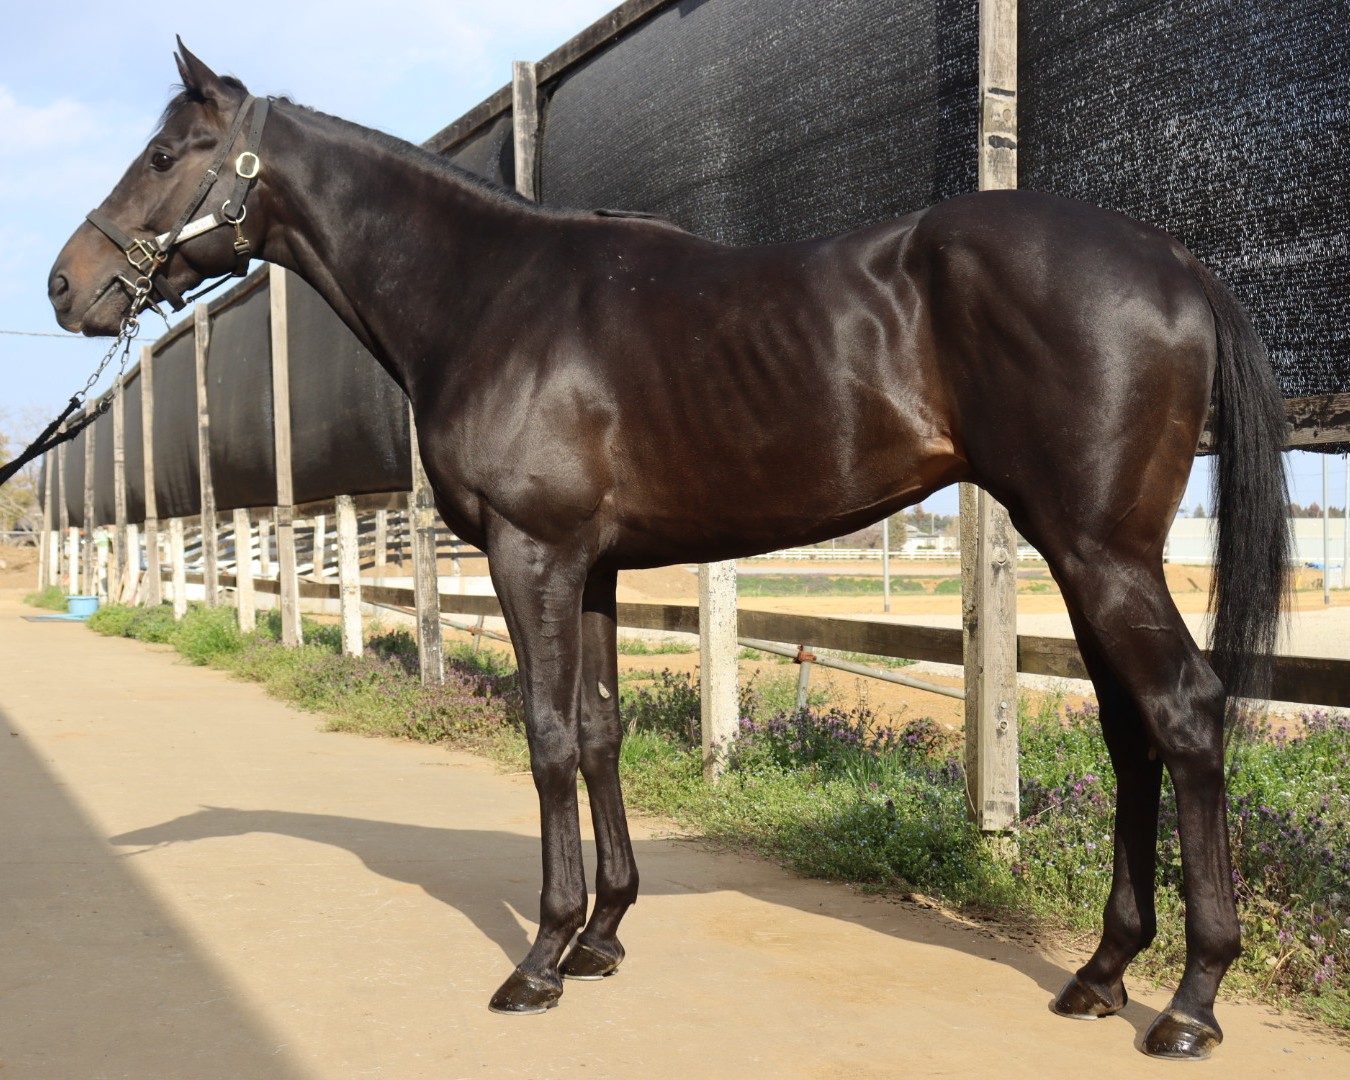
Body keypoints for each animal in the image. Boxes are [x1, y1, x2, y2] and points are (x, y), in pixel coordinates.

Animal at [49, 43, 1290, 1060]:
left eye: (166, 153)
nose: (68, 285)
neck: (492, 297)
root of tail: (1175, 259)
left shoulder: (532, 555)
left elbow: (548, 739)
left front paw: (541, 960)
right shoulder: (592, 566)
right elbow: (599, 733)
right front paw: (604, 935)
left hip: (1099, 549)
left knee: (1185, 713)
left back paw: (1189, 1004)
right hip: (1079, 550)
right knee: (1132, 732)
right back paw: (1101, 974)